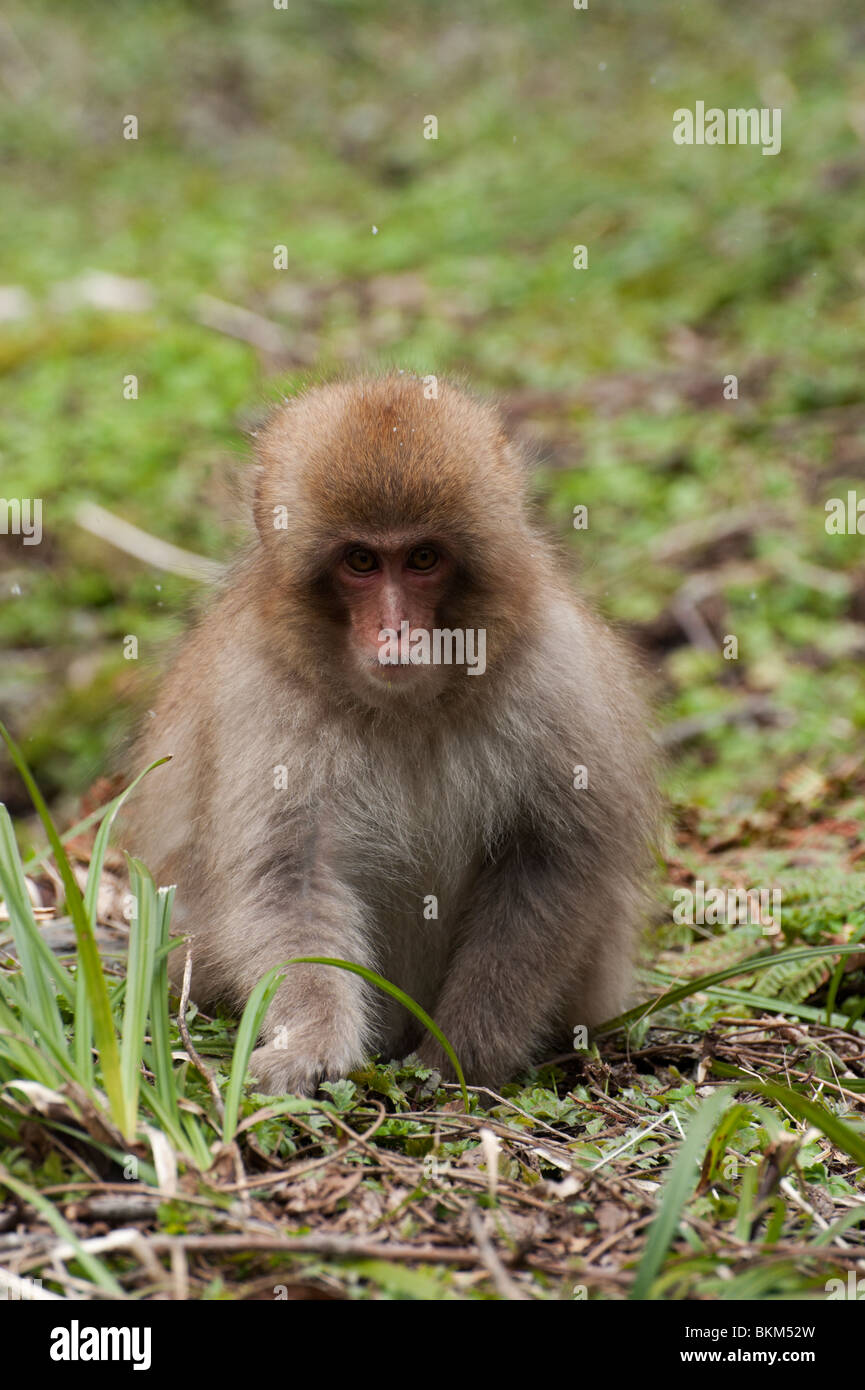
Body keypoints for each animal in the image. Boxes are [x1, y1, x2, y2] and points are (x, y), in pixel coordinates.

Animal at [124, 373, 659, 1096]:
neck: (407, 709)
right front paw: (312, 1042)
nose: (396, 632)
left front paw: (465, 1050)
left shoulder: (555, 671)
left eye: (423, 558)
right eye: (361, 561)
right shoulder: (260, 698)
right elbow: (289, 877)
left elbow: (552, 861)